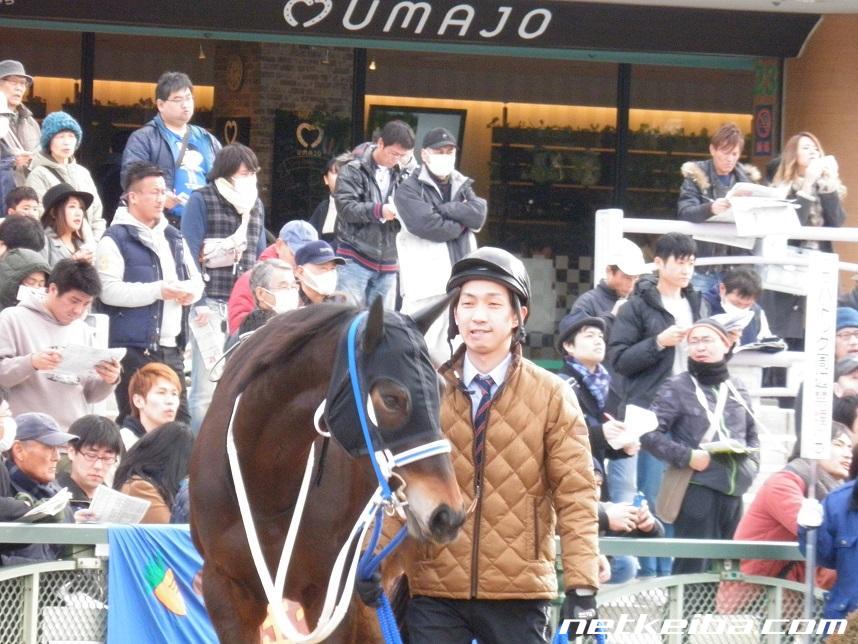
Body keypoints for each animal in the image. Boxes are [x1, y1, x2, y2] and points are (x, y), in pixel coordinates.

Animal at [189, 296, 466, 643]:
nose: (447, 513)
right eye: (391, 398)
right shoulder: (225, 589)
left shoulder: (330, 596)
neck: (267, 489)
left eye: (441, 389)